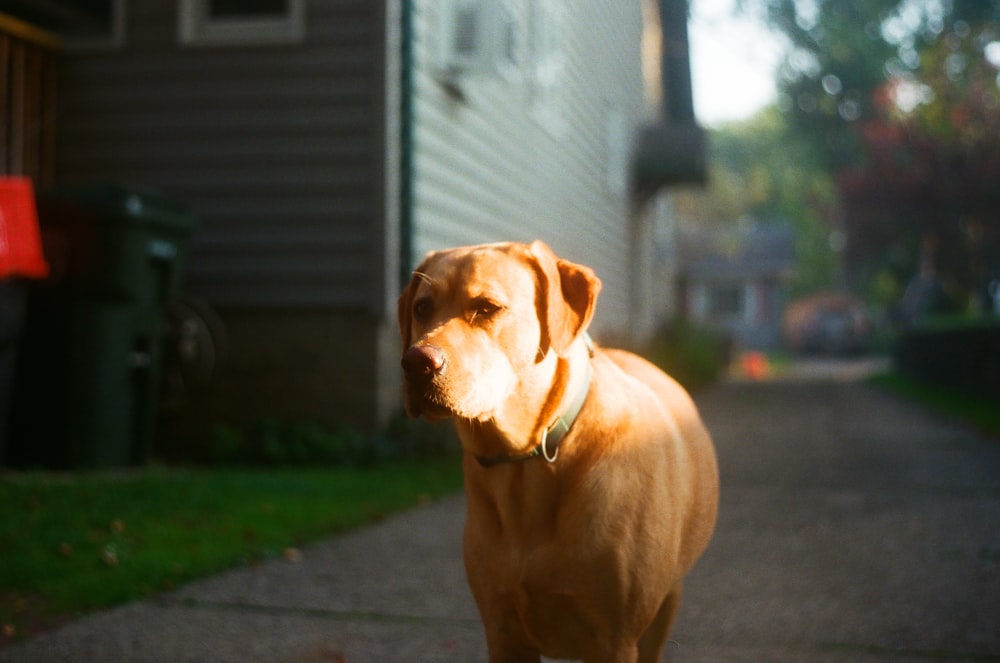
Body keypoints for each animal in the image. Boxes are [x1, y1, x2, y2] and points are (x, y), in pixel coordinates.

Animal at [398, 241, 720, 660]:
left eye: (486, 307)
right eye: (422, 307)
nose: (415, 363)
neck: (524, 463)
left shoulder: (615, 639)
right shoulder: (502, 631)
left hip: (664, 606)